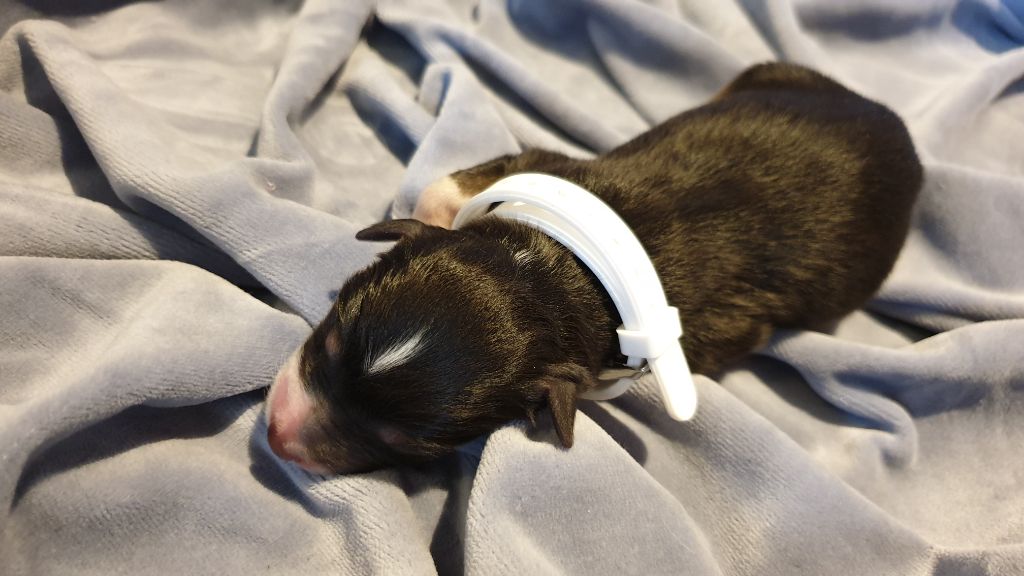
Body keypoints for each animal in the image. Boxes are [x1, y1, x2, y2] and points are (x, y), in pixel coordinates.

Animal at [265, 63, 923, 474]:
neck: (554, 271)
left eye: (403, 443)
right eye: (330, 337)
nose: (275, 434)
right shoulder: (547, 162)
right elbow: (439, 188)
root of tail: (898, 127)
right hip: (773, 74)